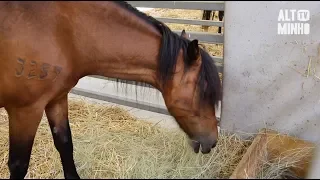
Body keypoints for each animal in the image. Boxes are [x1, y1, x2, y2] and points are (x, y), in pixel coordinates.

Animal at [0, 1, 221, 179]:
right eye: (205, 92)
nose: (212, 141)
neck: (62, 31)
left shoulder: (57, 99)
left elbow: (65, 144)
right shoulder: (25, 111)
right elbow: (19, 165)